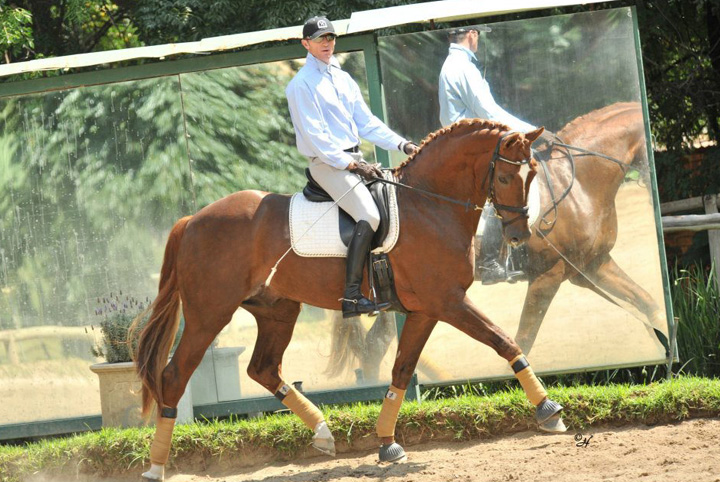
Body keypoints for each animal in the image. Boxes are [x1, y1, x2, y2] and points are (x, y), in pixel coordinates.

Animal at [129, 120, 566, 481]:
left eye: (532, 173)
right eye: (506, 175)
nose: (518, 235)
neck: (428, 203)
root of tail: (192, 220)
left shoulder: (425, 311)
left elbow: (401, 372)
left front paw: (387, 443)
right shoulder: (448, 302)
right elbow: (504, 341)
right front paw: (548, 410)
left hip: (278, 310)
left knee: (263, 368)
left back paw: (323, 433)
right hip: (210, 314)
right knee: (174, 376)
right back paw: (156, 466)